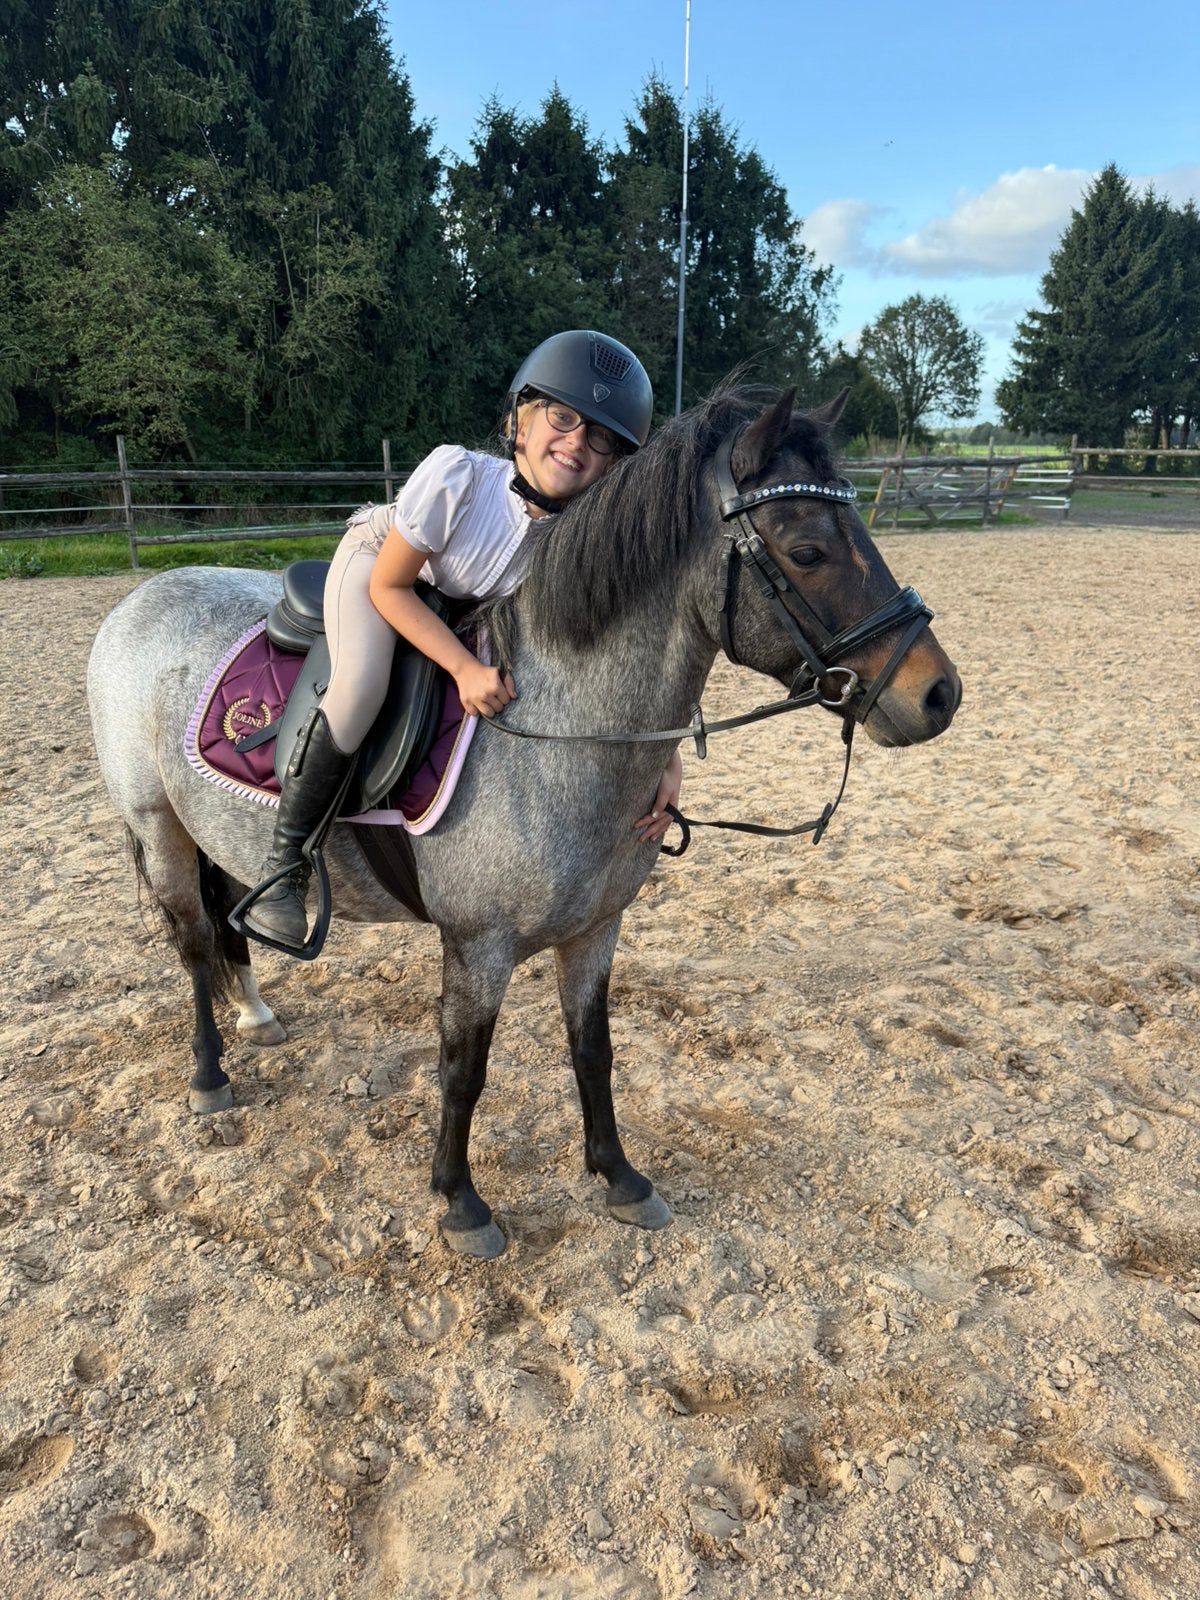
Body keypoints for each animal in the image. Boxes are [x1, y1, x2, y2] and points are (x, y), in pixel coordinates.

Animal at [87, 383, 961, 1259]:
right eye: (807, 550)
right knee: (194, 941)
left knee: (229, 927)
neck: (557, 733)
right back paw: (210, 1075)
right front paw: (460, 1202)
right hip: (159, 825)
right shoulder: (478, 945)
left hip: (210, 831)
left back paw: (257, 1010)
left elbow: (593, 1051)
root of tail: (142, 596)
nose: (938, 693)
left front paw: (620, 1177)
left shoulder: (597, 930)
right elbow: (463, 1071)